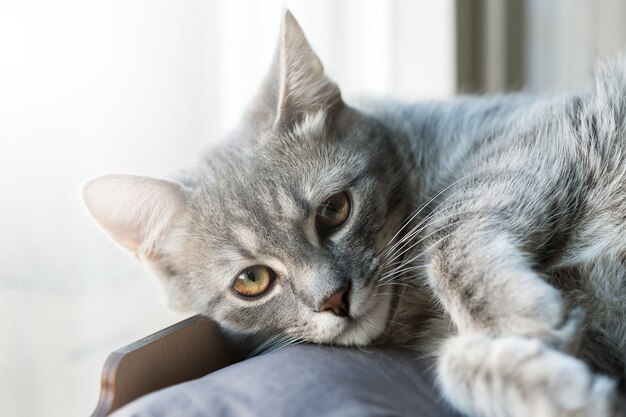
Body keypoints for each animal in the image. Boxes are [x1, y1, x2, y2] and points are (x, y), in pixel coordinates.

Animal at [83, 9, 624, 416]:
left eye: (334, 210)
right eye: (252, 281)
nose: (334, 299)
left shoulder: (536, 136)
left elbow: (447, 235)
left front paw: (516, 319)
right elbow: (451, 367)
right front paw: (547, 384)